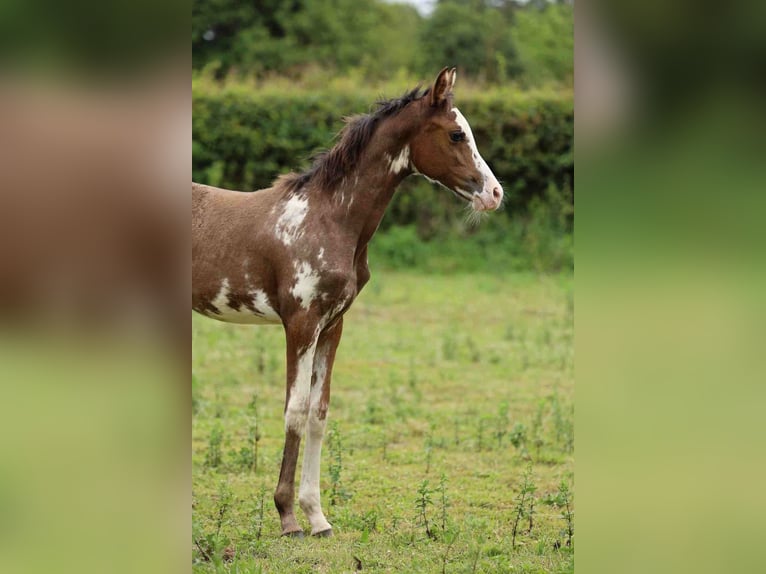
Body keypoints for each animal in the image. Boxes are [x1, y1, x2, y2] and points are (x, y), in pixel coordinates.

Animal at [192, 67, 504, 538]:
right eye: (455, 134)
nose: (495, 193)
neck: (329, 217)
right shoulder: (300, 322)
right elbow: (296, 410)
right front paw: (287, 517)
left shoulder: (332, 325)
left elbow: (320, 412)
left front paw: (317, 517)